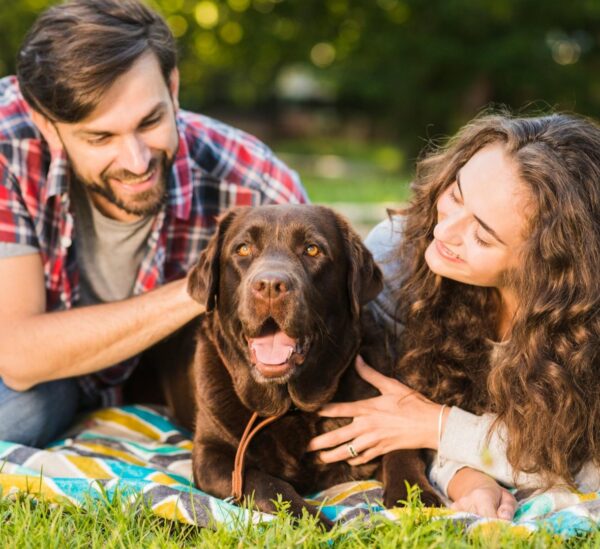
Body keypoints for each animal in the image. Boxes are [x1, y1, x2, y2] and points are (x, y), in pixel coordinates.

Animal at [161, 203, 440, 520]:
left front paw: (416, 500)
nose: (270, 285)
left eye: (312, 249)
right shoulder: (212, 455)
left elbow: (402, 453)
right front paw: (312, 520)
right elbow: (265, 483)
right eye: (243, 249)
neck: (291, 406)